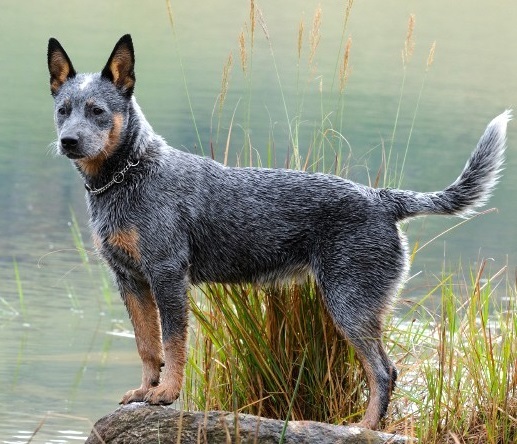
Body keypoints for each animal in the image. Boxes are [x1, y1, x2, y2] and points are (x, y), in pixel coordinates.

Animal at [47, 34, 508, 430]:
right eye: (63, 109)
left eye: (97, 110)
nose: (68, 141)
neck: (129, 175)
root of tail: (382, 199)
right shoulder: (130, 280)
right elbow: (147, 346)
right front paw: (145, 391)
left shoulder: (167, 276)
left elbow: (173, 344)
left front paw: (166, 394)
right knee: (386, 370)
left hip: (349, 304)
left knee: (383, 371)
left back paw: (363, 428)